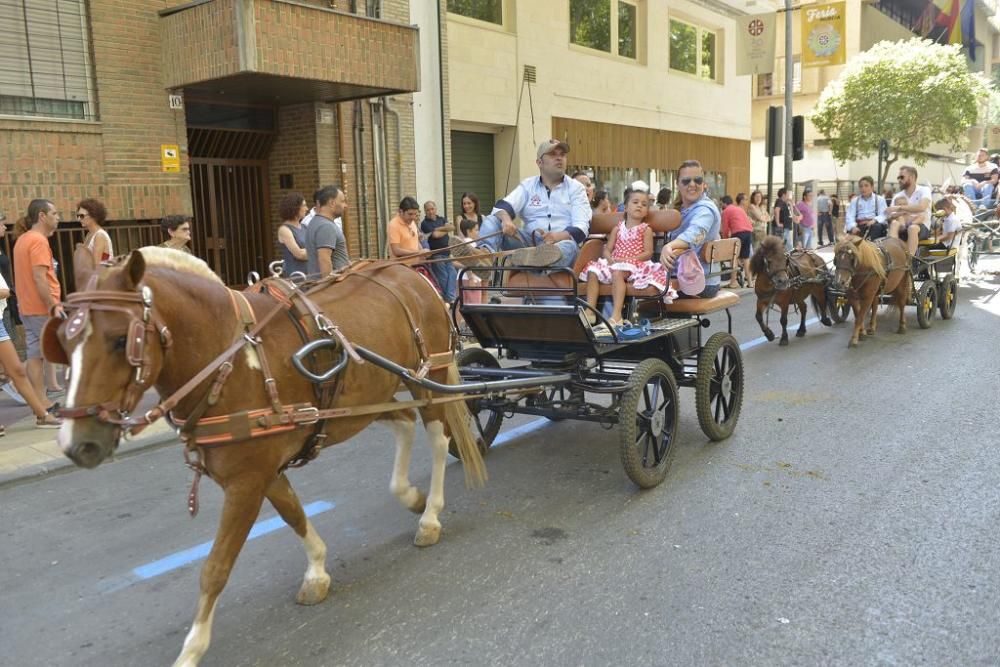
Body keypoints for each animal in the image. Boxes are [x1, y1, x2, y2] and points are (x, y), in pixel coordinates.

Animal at [48, 247, 486, 667]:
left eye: (121, 340)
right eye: (65, 344)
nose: (76, 444)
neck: (228, 360)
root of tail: (412, 275)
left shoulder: (246, 483)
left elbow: (216, 568)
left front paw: (192, 650)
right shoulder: (263, 472)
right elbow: (293, 514)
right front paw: (317, 571)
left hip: (427, 378)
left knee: (438, 439)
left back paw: (430, 514)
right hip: (368, 397)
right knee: (404, 423)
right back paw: (409, 495)